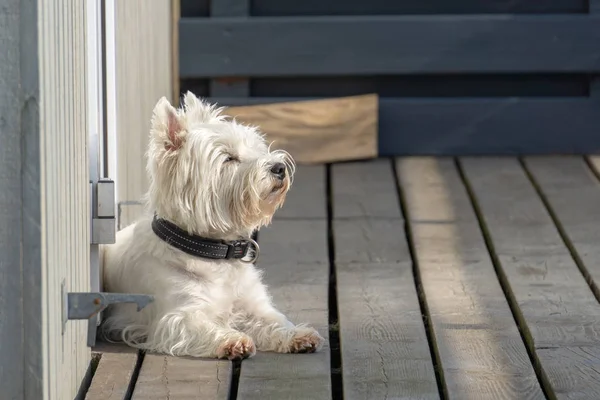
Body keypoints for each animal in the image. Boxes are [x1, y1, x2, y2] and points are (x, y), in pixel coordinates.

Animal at [101, 93, 324, 360]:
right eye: (229, 158)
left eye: (255, 148)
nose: (279, 167)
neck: (215, 254)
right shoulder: (178, 315)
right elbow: (203, 326)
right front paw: (233, 340)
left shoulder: (252, 304)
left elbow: (274, 320)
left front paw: (298, 335)